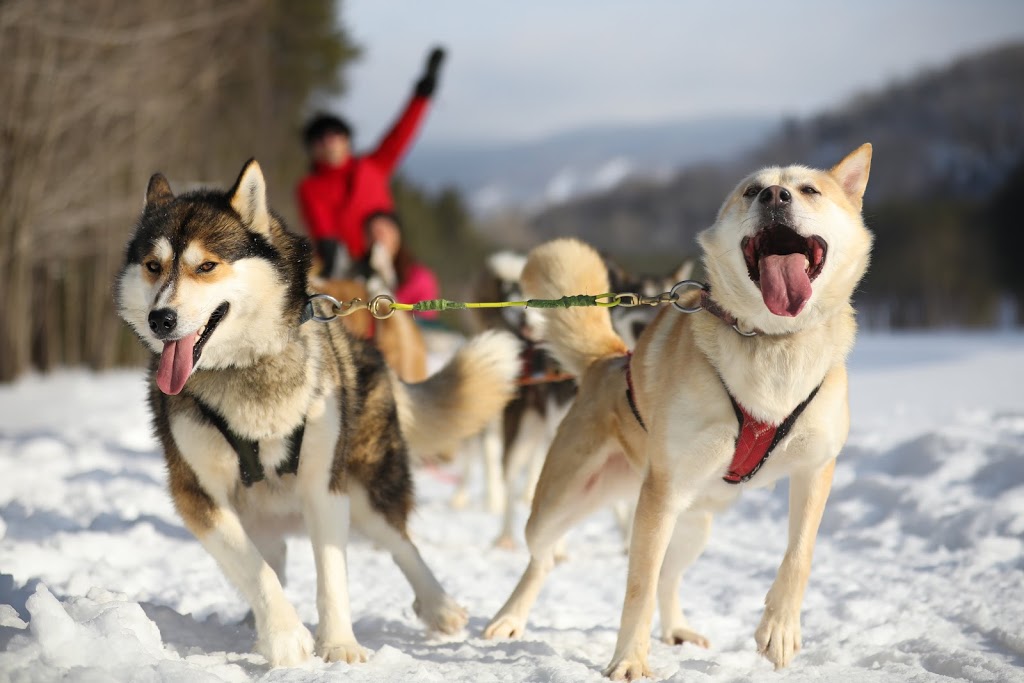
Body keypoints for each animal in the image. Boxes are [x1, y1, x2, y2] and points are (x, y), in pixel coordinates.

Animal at [483, 144, 876, 679]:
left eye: (810, 189)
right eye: (752, 190)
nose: (775, 196)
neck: (772, 344)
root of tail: (610, 361)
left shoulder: (816, 468)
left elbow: (799, 554)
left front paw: (779, 629)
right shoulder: (661, 494)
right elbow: (638, 587)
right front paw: (629, 659)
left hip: (693, 524)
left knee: (669, 578)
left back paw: (677, 629)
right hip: (564, 504)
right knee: (544, 557)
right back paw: (509, 617)